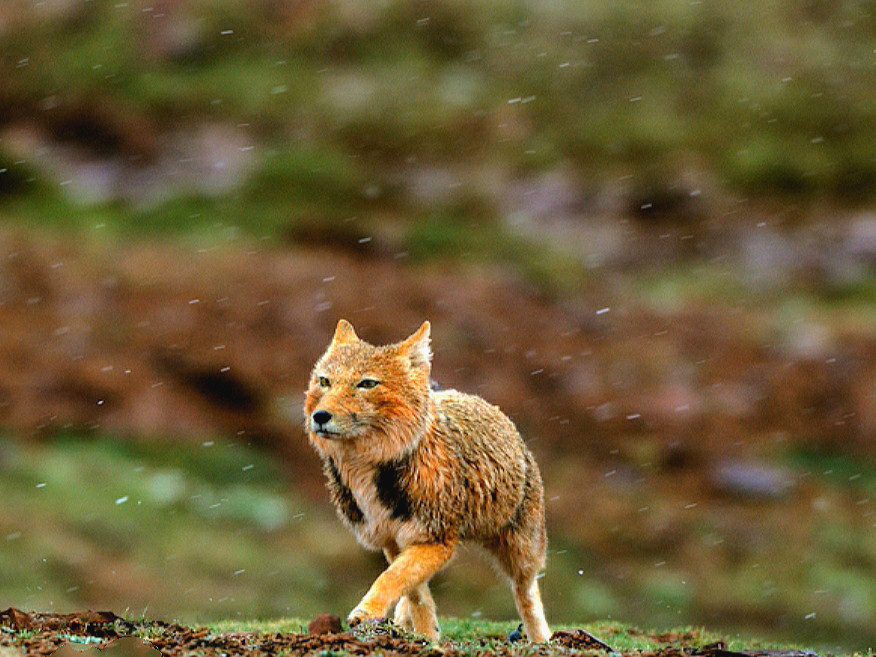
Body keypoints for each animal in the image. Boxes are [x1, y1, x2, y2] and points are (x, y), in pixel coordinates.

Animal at [302, 318, 548, 640]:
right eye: (324, 381)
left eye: (367, 383)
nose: (320, 416)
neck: (367, 470)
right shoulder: (393, 540)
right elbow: (413, 590)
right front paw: (427, 636)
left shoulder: (436, 539)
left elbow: (393, 578)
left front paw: (369, 612)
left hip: (522, 553)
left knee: (527, 592)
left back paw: (542, 639)